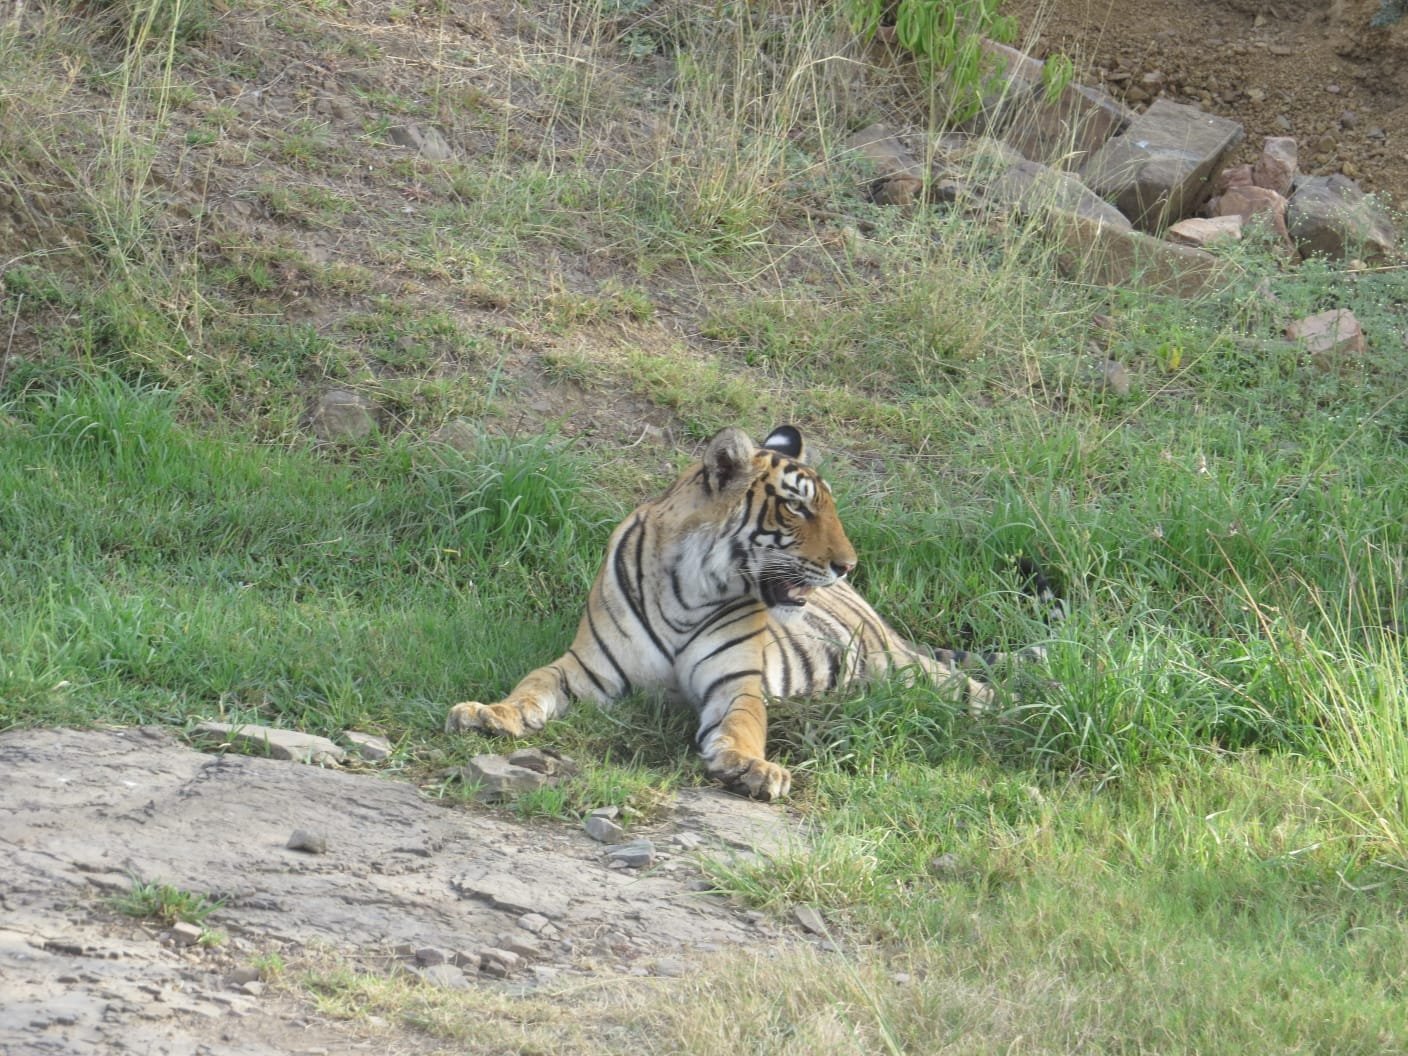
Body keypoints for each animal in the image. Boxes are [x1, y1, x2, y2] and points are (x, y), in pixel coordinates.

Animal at [445, 425, 1050, 800]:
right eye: (798, 507)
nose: (847, 565)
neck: (688, 586)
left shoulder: (735, 682)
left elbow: (741, 725)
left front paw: (752, 768)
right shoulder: (584, 667)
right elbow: (532, 685)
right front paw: (489, 714)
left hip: (912, 673)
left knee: (985, 694)